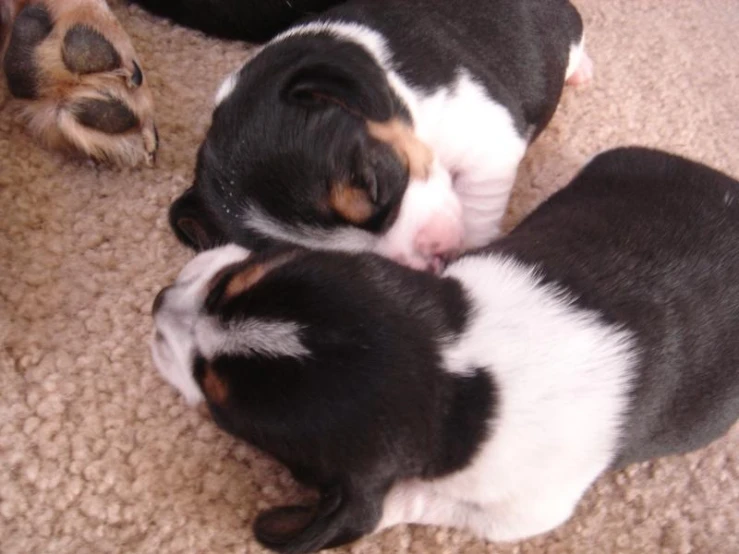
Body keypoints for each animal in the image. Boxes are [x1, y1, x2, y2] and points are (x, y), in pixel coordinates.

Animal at [150, 147, 739, 552]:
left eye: (216, 397)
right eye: (233, 283)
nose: (158, 304)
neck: (456, 369)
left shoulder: (521, 513)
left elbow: (404, 501)